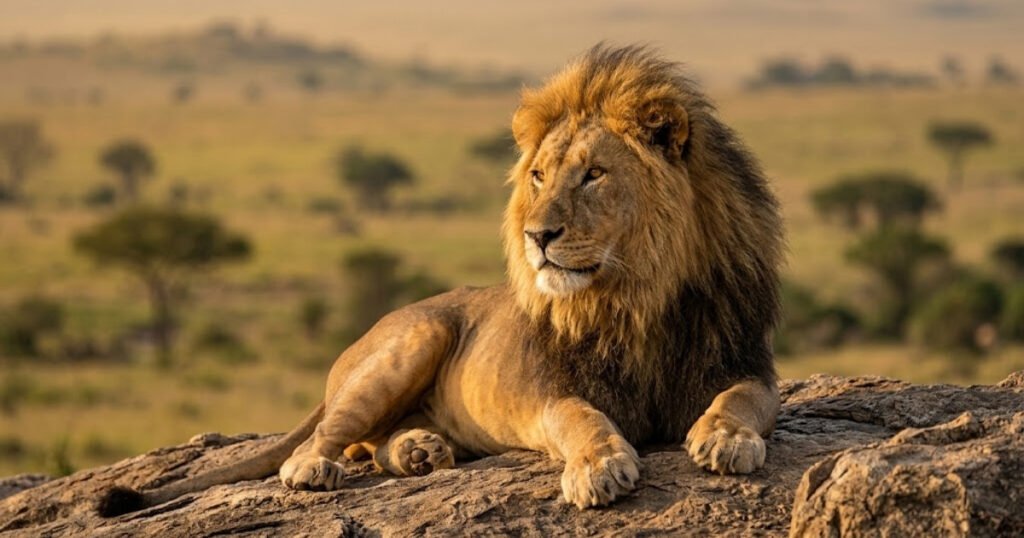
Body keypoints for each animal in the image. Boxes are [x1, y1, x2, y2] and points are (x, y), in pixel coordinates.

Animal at [98, 45, 783, 517]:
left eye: (594, 175)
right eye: (538, 176)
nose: (538, 235)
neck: (634, 298)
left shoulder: (744, 361)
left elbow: (741, 399)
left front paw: (724, 440)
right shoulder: (551, 390)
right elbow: (581, 419)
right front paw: (600, 466)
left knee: (373, 444)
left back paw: (418, 451)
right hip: (413, 341)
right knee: (325, 437)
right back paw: (319, 468)